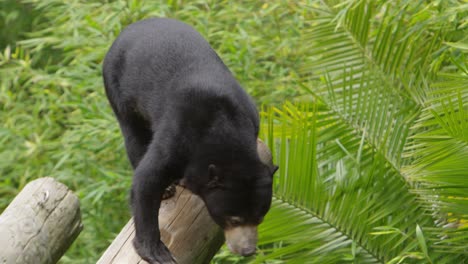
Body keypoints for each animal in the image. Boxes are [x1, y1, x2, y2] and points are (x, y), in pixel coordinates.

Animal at [102, 17, 278, 262]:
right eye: (233, 219)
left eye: (260, 217)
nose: (247, 250)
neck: (222, 127)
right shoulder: (177, 139)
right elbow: (146, 181)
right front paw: (156, 252)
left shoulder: (251, 119)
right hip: (118, 89)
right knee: (133, 137)